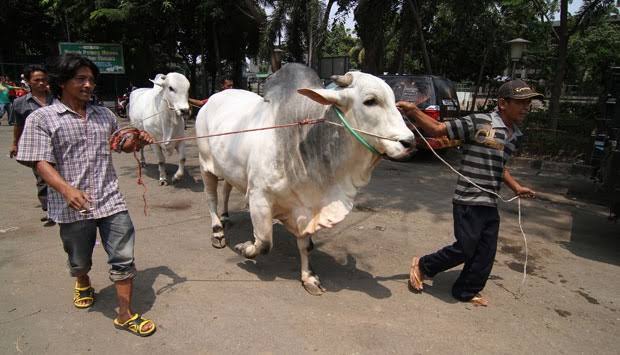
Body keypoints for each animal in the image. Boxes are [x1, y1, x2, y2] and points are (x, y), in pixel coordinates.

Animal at [196, 64, 414, 294]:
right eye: (370, 101)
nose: (410, 142)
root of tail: (211, 100)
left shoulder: (305, 205)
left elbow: (306, 246)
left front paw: (308, 278)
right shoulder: (259, 197)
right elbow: (264, 242)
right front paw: (245, 249)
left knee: (226, 188)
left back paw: (225, 216)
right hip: (205, 164)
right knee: (211, 197)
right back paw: (217, 232)